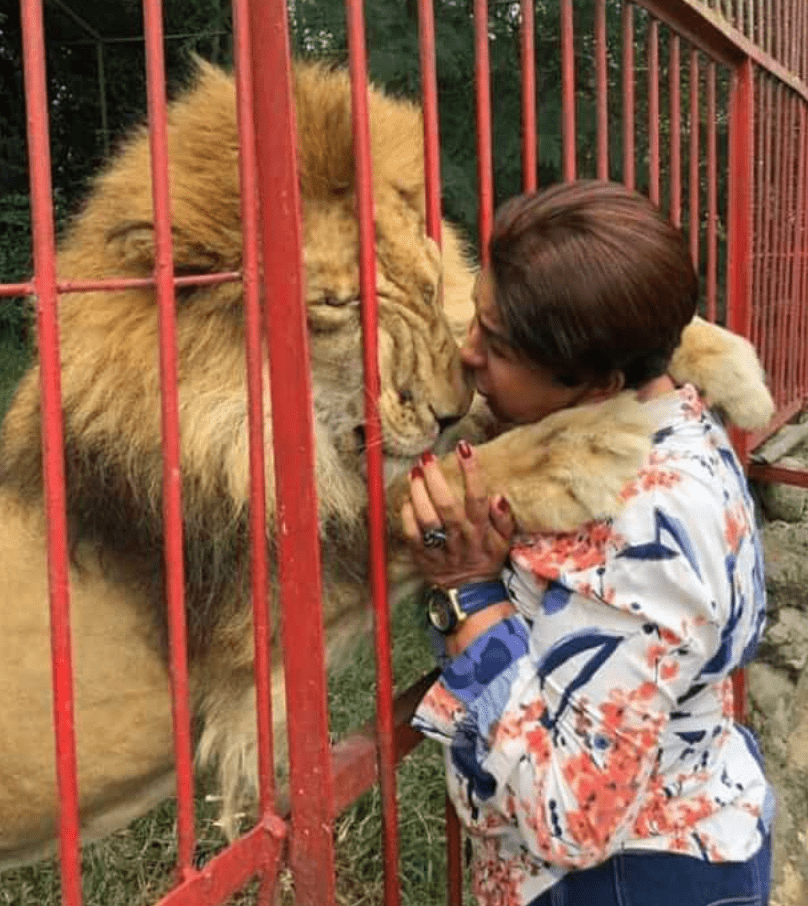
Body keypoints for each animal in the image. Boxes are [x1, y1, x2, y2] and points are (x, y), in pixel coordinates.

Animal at [0, 60, 772, 864]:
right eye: (336, 305)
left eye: (429, 281)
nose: (447, 407)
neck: (246, 425)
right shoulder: (254, 610)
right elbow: (411, 501)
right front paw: (581, 441)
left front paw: (732, 364)